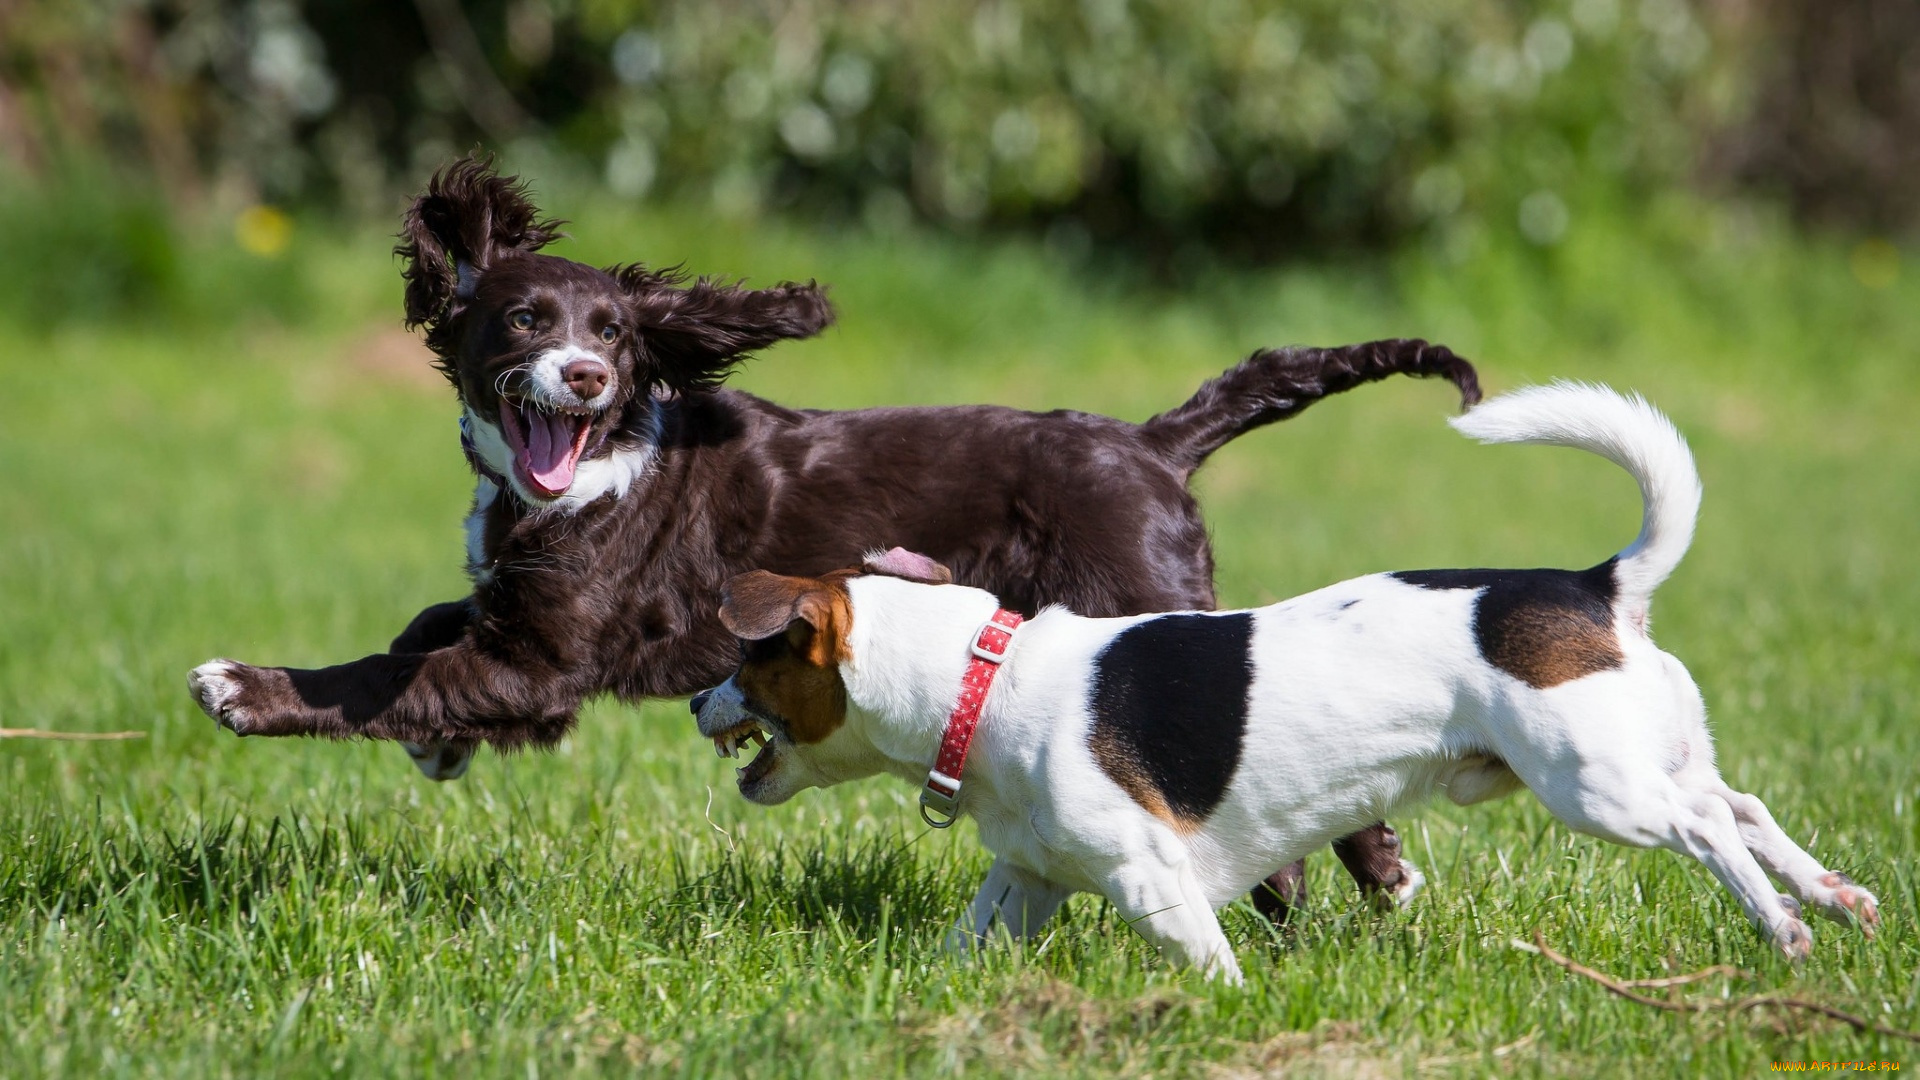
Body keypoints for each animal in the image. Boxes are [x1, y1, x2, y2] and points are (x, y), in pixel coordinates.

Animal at [687, 382, 1873, 980]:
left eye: (750, 656)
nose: (696, 701)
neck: (986, 682)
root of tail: (1596, 585)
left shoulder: (1153, 883)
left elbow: (1215, 966)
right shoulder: (1022, 886)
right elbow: (961, 951)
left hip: (1596, 789)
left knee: (1706, 827)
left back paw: (1786, 929)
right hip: (1642, 756)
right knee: (1740, 803)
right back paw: (1831, 897)